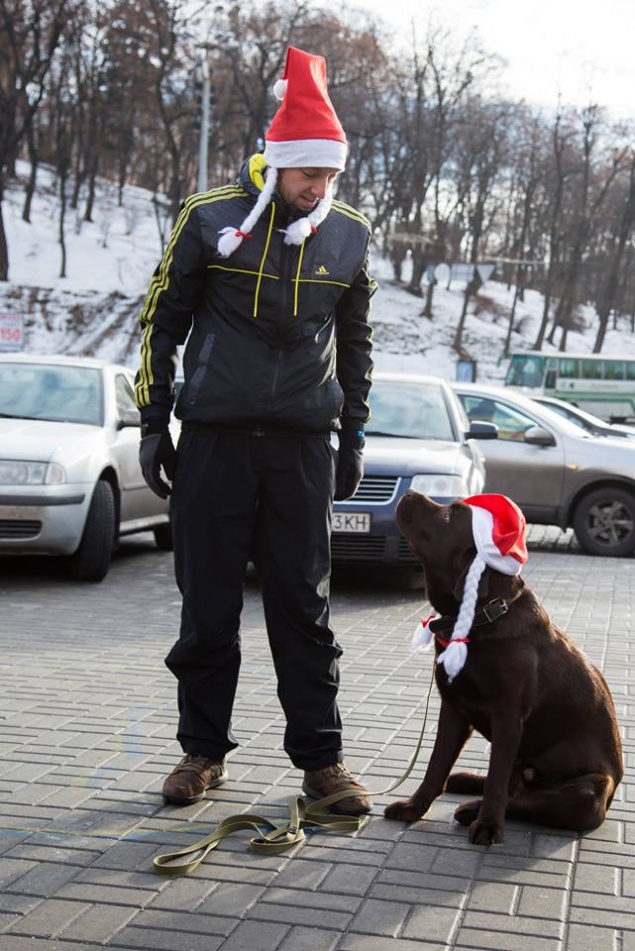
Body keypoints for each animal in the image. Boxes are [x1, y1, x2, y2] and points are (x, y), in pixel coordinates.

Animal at [386, 494, 624, 844]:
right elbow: (436, 764)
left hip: (589, 793)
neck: (482, 617)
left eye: (449, 514)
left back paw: (473, 809)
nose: (409, 493)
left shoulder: (508, 716)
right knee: (511, 787)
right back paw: (465, 782)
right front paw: (414, 807)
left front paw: (488, 825)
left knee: (524, 799)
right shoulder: (453, 709)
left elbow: (496, 778)